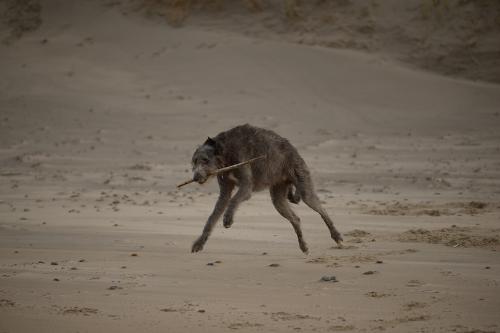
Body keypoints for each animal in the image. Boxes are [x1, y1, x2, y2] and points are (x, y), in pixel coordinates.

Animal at [189, 124, 342, 252]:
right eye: (194, 162)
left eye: (205, 160)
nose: (195, 178)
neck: (226, 151)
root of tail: (294, 150)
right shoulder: (225, 190)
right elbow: (213, 217)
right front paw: (199, 243)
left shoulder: (246, 186)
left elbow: (234, 199)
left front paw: (228, 218)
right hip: (278, 198)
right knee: (295, 218)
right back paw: (303, 245)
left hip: (304, 186)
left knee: (322, 211)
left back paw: (336, 236)